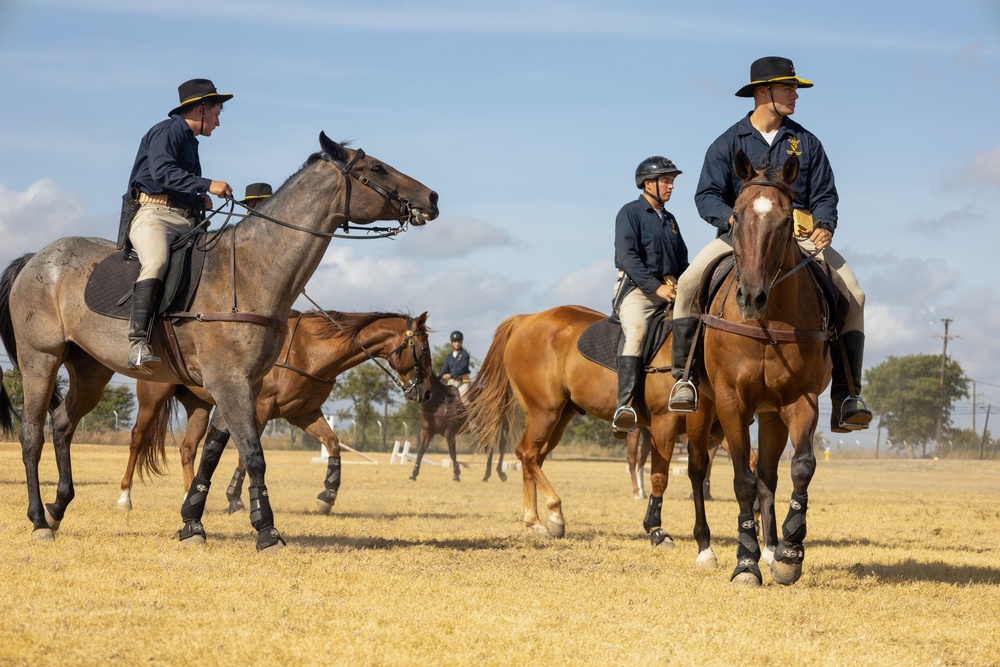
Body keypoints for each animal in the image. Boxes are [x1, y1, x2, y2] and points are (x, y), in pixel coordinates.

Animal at [116, 310, 430, 516]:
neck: (309, 349)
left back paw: (188, 496)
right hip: (153, 398)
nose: (426, 392)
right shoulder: (261, 408)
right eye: (424, 350)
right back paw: (125, 497)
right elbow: (245, 455)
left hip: (199, 405)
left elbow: (332, 443)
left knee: (187, 448)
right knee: (137, 439)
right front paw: (234, 499)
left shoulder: (303, 413)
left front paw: (328, 495)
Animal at [680, 150, 836, 584]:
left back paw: (770, 549)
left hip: (769, 415)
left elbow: (800, 467)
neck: (768, 322)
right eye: (734, 217)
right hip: (702, 410)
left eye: (785, 221)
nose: (750, 297)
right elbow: (741, 481)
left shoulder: (800, 399)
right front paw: (745, 563)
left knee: (768, 475)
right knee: (697, 469)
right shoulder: (731, 402)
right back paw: (706, 549)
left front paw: (788, 554)